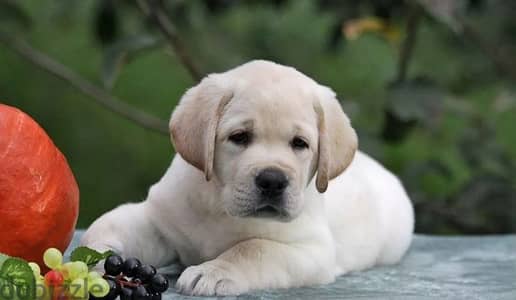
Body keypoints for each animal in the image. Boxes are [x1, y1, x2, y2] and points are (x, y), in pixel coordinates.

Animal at [81, 59, 416, 296]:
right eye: (239, 137)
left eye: (300, 144)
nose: (273, 180)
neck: (220, 207)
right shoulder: (158, 220)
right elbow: (107, 226)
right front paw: (97, 261)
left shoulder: (311, 250)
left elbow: (254, 248)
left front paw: (214, 271)